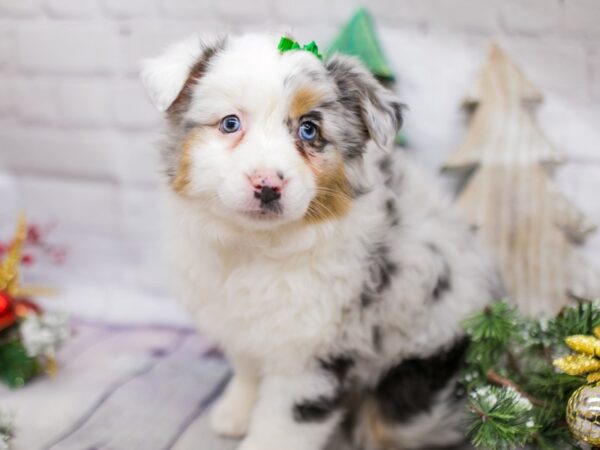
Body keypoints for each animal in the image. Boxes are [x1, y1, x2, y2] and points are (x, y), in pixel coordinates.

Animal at [141, 32, 496, 450]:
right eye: (230, 124)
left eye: (309, 130)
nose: (267, 185)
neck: (258, 244)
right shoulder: (244, 325)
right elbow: (247, 368)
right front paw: (235, 413)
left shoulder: (313, 354)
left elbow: (284, 423)